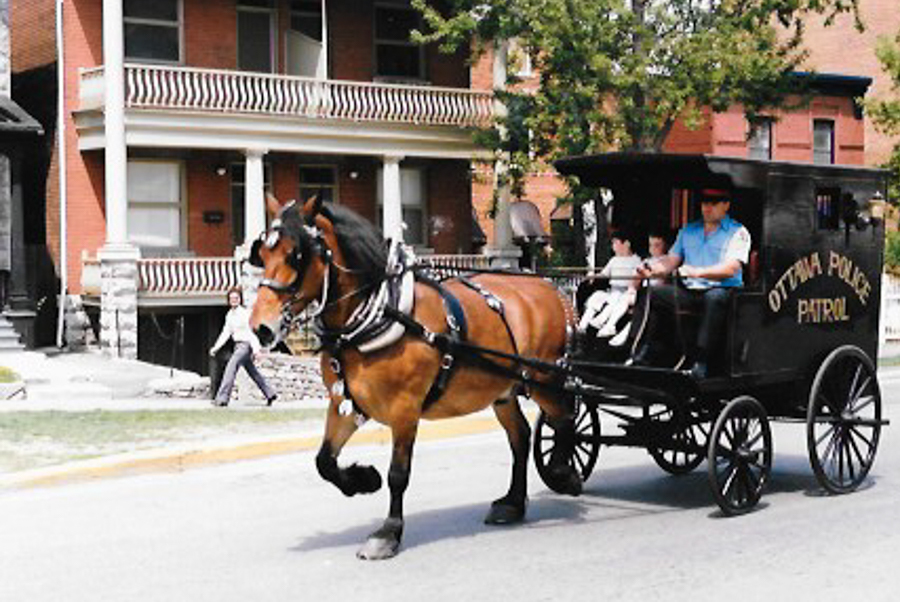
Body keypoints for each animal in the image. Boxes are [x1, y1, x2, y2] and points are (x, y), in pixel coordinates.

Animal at [248, 196, 584, 556]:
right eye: (262, 254)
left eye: (295, 255)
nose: (261, 327)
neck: (379, 314)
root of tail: (548, 286)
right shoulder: (345, 403)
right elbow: (324, 461)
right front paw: (363, 479)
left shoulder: (405, 409)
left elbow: (398, 474)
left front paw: (388, 533)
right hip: (503, 389)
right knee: (520, 437)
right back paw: (513, 502)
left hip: (545, 380)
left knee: (564, 420)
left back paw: (563, 474)